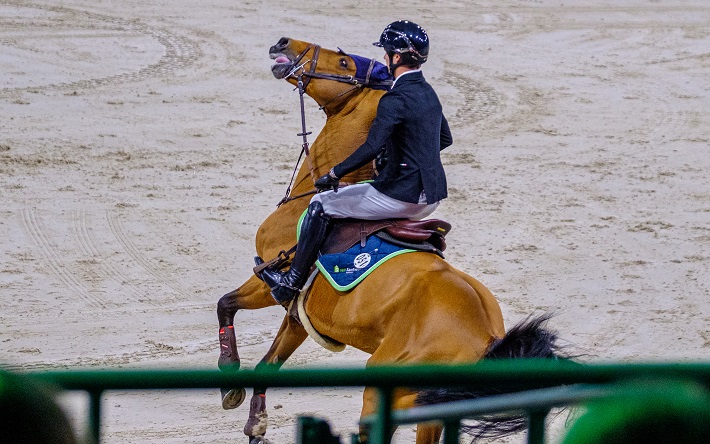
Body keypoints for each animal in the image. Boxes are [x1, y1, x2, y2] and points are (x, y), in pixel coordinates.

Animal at [214, 38, 564, 444]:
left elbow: (225, 304)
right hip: (427, 407)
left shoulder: (271, 282)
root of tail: (484, 338)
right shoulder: (298, 317)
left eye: (344, 62)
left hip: (384, 385)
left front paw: (229, 378)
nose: (283, 43)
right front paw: (255, 423)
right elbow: (267, 364)